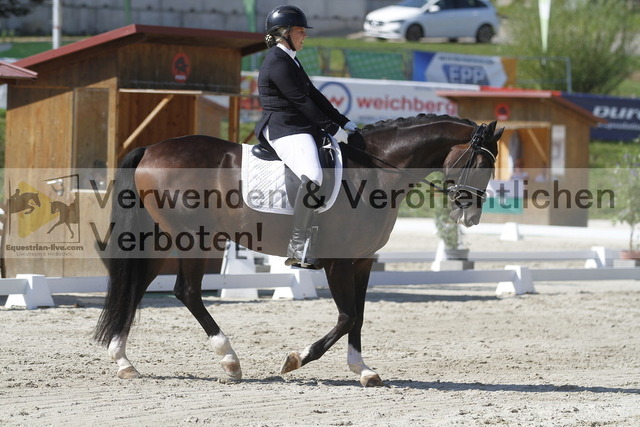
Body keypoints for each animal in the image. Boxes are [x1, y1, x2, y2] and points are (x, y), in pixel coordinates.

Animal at [94, 113, 503, 387]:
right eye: (482, 163)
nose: (471, 217)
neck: (376, 171)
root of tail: (151, 149)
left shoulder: (362, 261)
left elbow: (359, 316)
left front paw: (364, 370)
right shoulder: (338, 262)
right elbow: (347, 316)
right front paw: (295, 360)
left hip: (165, 239)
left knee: (137, 286)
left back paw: (123, 361)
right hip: (194, 238)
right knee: (187, 291)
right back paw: (230, 361)